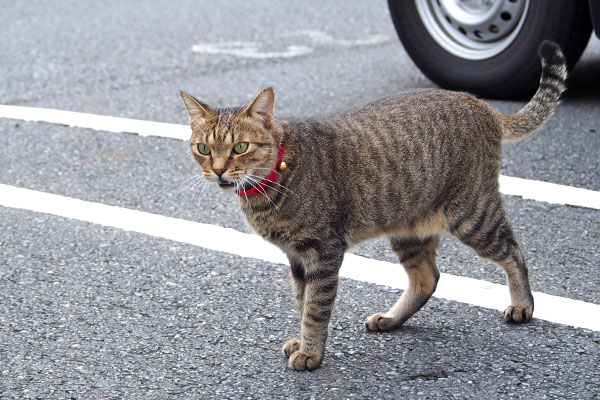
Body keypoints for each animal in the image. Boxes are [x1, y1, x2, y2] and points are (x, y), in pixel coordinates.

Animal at [178, 41, 568, 372]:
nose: (218, 170)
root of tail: (479, 102)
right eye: (204, 149)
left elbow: (315, 308)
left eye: (240, 147)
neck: (273, 181)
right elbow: (302, 302)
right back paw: (391, 319)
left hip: (473, 215)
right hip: (409, 229)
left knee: (514, 252)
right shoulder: (297, 258)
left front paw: (310, 352)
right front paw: (302, 342)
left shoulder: (323, 251)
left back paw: (523, 304)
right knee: (428, 278)